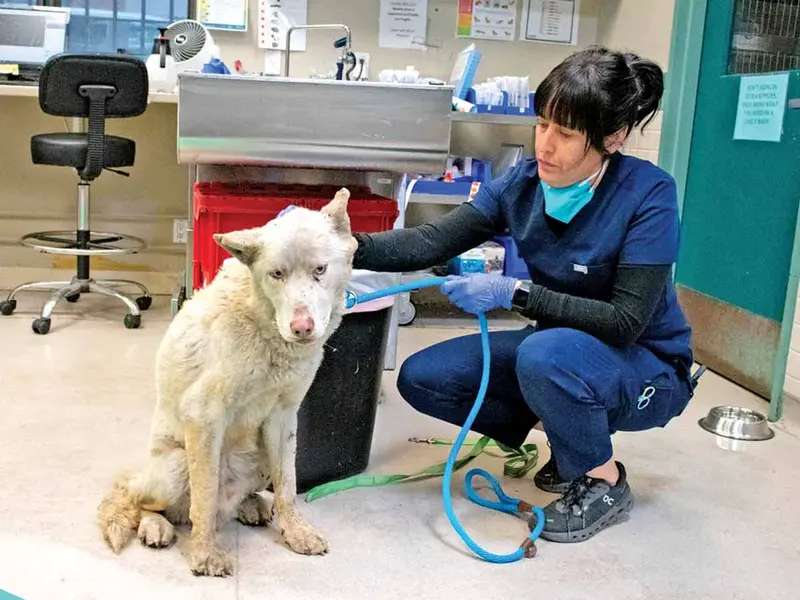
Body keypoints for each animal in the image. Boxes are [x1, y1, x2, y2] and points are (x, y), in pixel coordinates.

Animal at [97, 189, 356, 576]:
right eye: (276, 274)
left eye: (320, 270)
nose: (302, 328)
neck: (264, 325)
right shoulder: (203, 415)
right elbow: (204, 499)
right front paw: (204, 554)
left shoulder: (284, 418)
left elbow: (288, 486)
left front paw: (295, 532)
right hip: (175, 466)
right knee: (138, 498)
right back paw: (156, 525)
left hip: (259, 457)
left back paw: (250, 505)